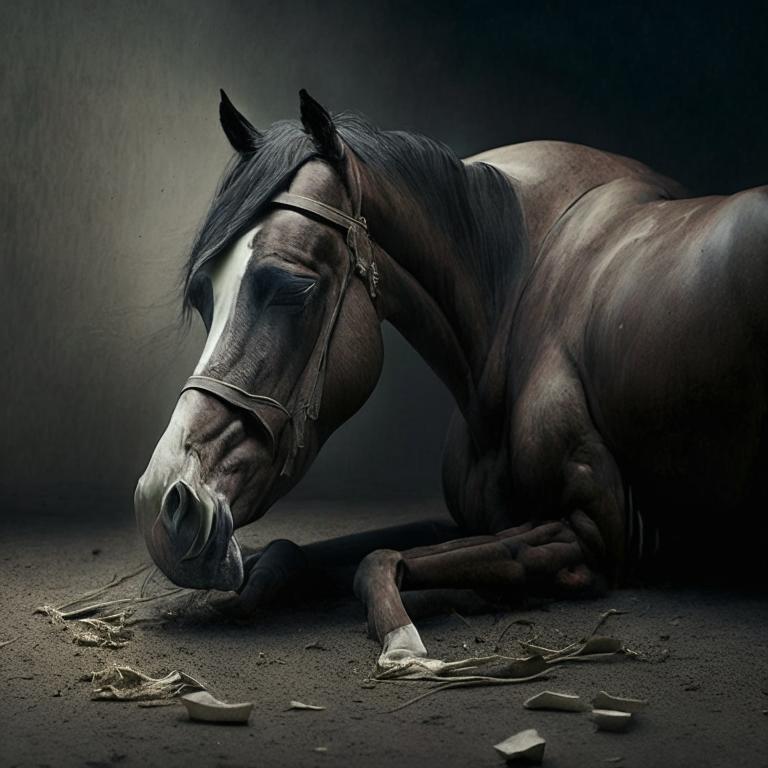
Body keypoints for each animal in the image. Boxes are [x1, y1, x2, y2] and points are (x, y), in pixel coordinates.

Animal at [135, 89, 768, 666]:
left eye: (292, 288)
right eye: (203, 294)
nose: (161, 503)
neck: (515, 289)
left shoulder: (592, 537)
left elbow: (379, 561)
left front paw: (403, 641)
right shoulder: (469, 519)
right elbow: (300, 551)